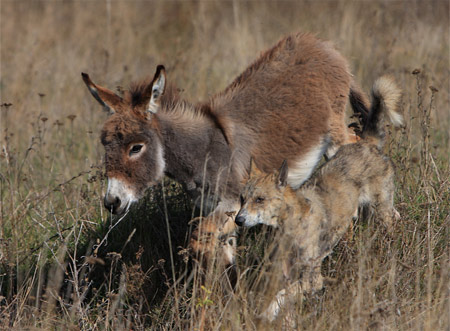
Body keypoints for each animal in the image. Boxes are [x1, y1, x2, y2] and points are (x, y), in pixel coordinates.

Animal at [236, 76, 404, 322]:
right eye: (242, 199)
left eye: (260, 199)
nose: (238, 220)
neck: (291, 222)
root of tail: (366, 143)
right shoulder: (287, 271)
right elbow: (285, 299)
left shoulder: (312, 279)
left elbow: (282, 295)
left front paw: (266, 314)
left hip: (381, 210)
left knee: (393, 221)